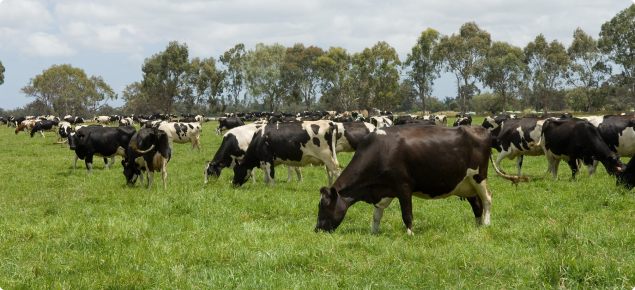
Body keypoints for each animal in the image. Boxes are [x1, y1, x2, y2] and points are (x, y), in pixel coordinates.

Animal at [314, 125, 528, 234]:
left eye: (324, 206)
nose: (317, 230)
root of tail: (482, 130)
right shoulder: (383, 189)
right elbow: (377, 215)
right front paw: (374, 233)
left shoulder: (403, 186)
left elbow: (407, 214)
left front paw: (410, 234)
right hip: (465, 183)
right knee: (476, 203)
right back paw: (476, 226)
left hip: (478, 176)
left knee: (487, 199)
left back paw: (486, 224)